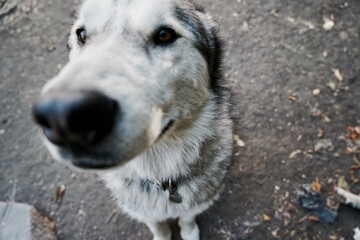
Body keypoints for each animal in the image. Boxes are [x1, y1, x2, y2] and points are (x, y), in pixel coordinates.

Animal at [31, 0, 233, 239]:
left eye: (165, 34)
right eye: (81, 35)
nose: (60, 115)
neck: (161, 179)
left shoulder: (196, 203)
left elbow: (187, 219)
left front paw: (190, 233)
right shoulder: (144, 212)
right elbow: (158, 227)